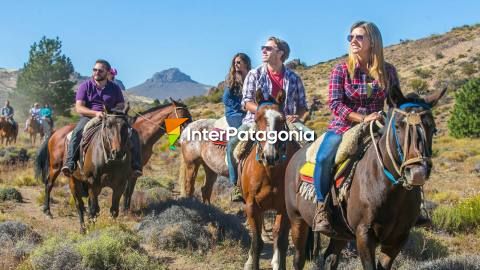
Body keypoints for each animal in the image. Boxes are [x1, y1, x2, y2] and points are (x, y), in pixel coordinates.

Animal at [36, 100, 193, 218]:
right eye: (184, 116)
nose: (189, 131)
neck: (143, 133)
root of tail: (55, 132)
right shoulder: (130, 173)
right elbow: (127, 191)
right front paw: (125, 211)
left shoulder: (133, 171)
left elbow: (127, 191)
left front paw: (124, 210)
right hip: (55, 166)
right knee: (49, 184)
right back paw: (47, 210)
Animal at [242, 89, 298, 270]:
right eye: (257, 118)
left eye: (282, 119)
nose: (270, 156)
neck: (270, 173)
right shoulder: (252, 207)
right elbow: (257, 243)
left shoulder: (284, 209)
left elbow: (281, 243)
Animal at [284, 87, 446, 270]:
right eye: (398, 126)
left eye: (432, 128)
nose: (417, 172)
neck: (389, 188)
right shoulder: (364, 235)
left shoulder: (398, 239)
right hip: (297, 220)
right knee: (299, 258)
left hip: (339, 233)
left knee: (330, 258)